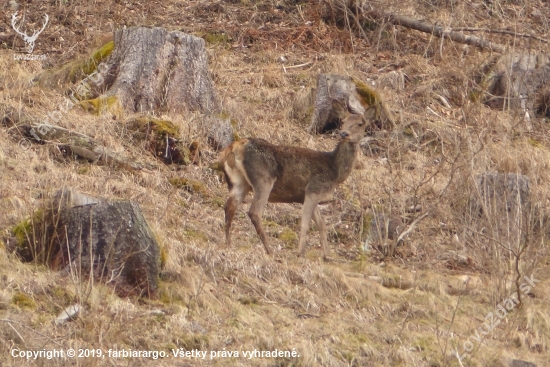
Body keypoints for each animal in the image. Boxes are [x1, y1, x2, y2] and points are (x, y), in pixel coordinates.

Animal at [217, 100, 380, 258]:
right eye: (343, 121)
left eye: (361, 123)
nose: (344, 133)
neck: (335, 170)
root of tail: (234, 147)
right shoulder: (314, 188)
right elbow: (306, 223)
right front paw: (300, 253)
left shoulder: (307, 195)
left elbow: (322, 224)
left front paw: (327, 255)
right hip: (263, 179)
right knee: (254, 212)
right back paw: (270, 250)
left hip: (239, 182)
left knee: (229, 207)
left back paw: (228, 243)